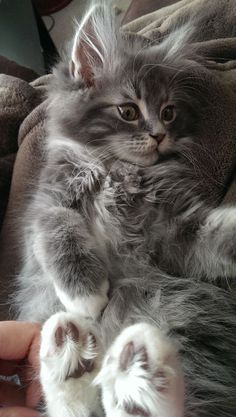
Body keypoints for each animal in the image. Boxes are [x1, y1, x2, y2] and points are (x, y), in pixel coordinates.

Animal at [15, 3, 235, 416]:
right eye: (128, 111)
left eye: (168, 112)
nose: (159, 135)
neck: (116, 171)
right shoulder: (48, 206)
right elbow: (61, 232)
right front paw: (86, 295)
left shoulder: (175, 233)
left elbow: (214, 234)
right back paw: (73, 348)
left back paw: (134, 369)